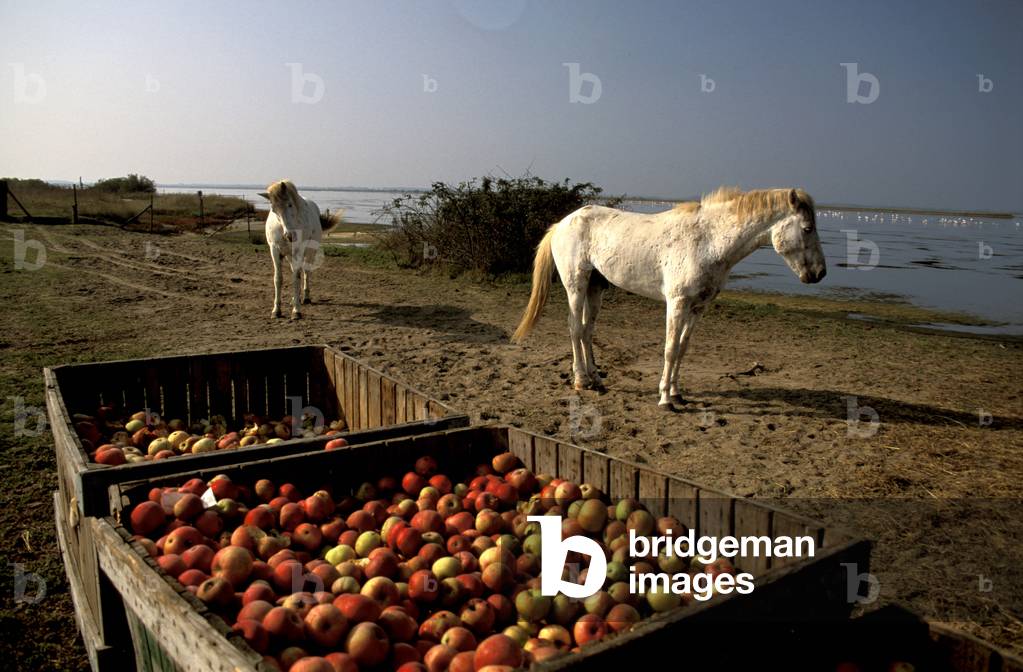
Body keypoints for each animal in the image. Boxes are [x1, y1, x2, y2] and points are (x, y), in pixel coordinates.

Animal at [258, 179, 341, 319]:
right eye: (273, 209)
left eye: (290, 204)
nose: (289, 235)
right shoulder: (275, 251)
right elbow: (278, 279)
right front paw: (276, 310)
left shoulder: (298, 251)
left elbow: (296, 278)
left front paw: (296, 311)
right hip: (290, 255)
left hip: (309, 252)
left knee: (306, 271)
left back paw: (305, 298)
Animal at [511, 186, 827, 409]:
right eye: (808, 228)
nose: (820, 273)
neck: (708, 241)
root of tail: (562, 223)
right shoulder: (676, 303)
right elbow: (670, 349)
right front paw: (665, 399)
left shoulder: (699, 307)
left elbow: (683, 348)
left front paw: (677, 393)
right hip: (575, 285)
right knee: (575, 328)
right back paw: (580, 380)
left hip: (595, 287)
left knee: (588, 331)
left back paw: (596, 379)